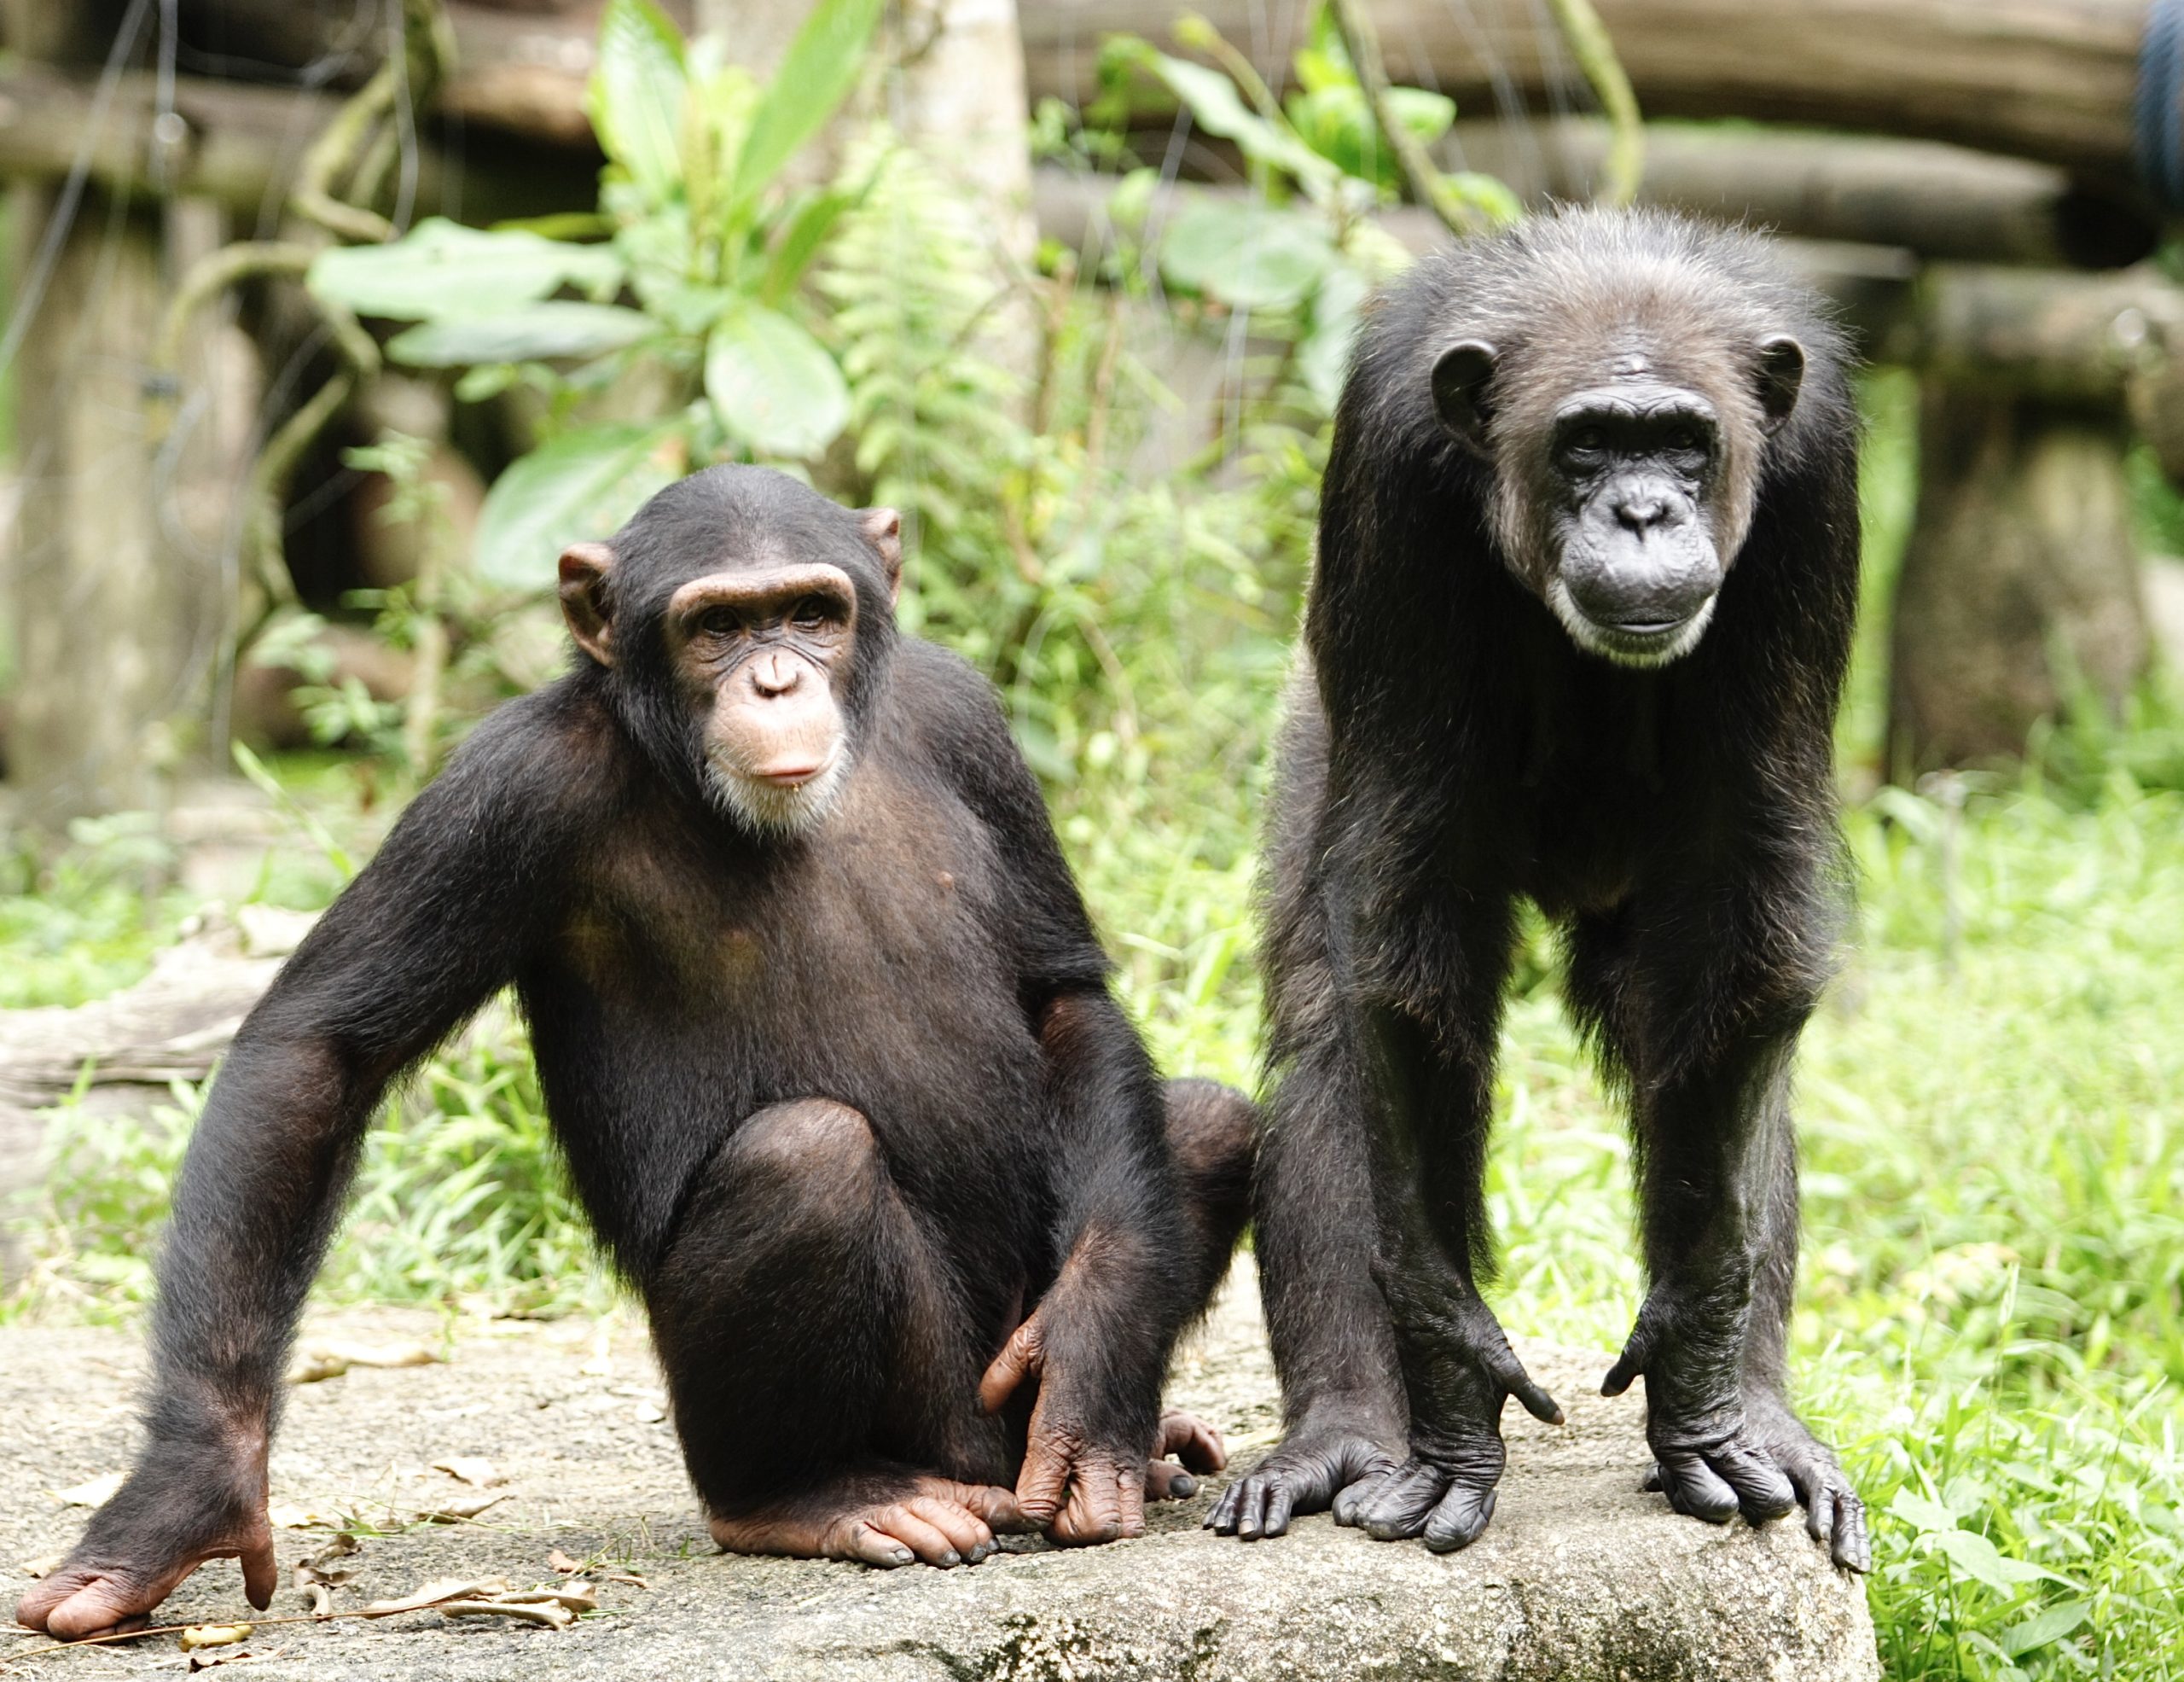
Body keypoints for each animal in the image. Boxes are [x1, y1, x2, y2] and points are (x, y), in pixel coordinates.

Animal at [17, 465, 1249, 1633]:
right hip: (931, 1420)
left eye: (812, 613)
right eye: (717, 627)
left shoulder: (969, 723)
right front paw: (187, 1493)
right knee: (806, 1162)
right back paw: (809, 1496)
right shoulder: (505, 788)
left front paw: (1095, 1349)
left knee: (1208, 1122)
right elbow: (321, 1049)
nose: (775, 680)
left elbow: (1061, 993)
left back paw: (1143, 1437)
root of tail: (986, 1464)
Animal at [1205, 206, 1869, 1555]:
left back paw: (1762, 1418)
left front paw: (1698, 1367)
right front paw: (1455, 1381)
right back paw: (1343, 1431)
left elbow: (1748, 868)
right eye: (1587, 444)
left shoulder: (1814, 474)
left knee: (1722, 1051)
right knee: (1329, 1039)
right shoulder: (1390, 463)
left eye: (1683, 442)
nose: (1643, 511)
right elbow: (1403, 925)